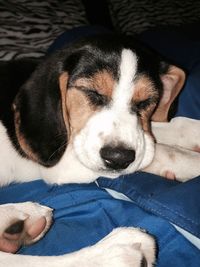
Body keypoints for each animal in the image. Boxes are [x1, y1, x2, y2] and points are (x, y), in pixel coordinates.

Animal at [0, 34, 200, 266]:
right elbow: (161, 152)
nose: (118, 159)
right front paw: (192, 162)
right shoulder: (62, 164)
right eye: (92, 93)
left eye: (146, 102)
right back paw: (114, 253)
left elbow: (167, 130)